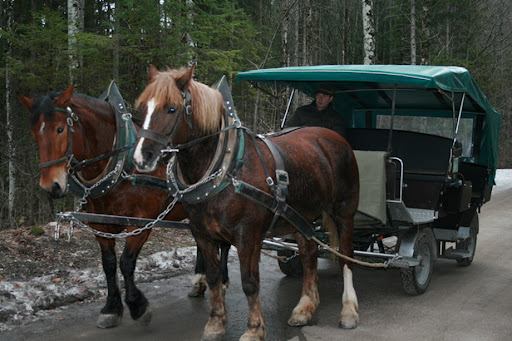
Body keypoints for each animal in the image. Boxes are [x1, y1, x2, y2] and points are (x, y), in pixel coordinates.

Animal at [19, 86, 228, 328]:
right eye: (34, 133)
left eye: (60, 129)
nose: (50, 186)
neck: (122, 164)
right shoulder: (99, 223)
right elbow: (109, 264)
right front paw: (111, 308)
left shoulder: (141, 222)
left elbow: (126, 263)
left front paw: (138, 306)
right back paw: (198, 282)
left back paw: (222, 280)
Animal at [131, 65, 360, 338]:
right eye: (142, 108)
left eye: (172, 108)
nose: (141, 157)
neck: (225, 169)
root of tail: (336, 139)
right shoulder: (202, 233)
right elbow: (213, 276)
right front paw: (215, 323)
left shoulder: (247, 235)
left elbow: (250, 283)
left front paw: (253, 329)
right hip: (301, 217)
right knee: (308, 255)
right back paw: (305, 307)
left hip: (344, 211)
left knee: (346, 256)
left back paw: (348, 310)